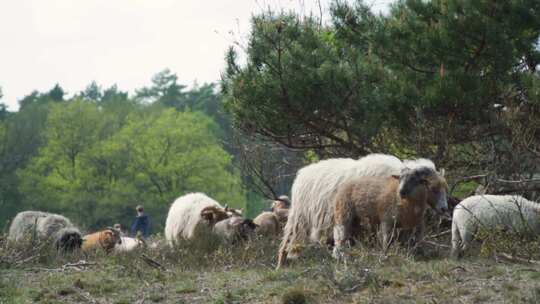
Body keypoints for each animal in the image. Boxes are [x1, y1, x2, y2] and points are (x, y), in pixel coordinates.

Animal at [276, 153, 446, 268]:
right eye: (432, 188)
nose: (444, 208)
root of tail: (302, 173)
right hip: (300, 217)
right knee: (287, 242)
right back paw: (281, 265)